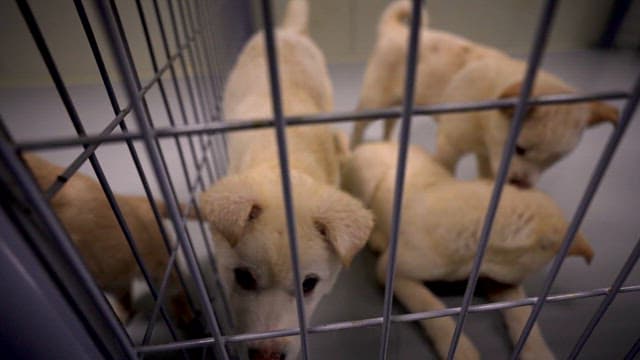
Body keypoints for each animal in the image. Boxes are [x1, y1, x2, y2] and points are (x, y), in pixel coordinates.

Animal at [342, 142, 592, 358]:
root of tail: (368, 144)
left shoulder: (499, 283)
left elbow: (523, 314)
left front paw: (538, 352)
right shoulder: (393, 272)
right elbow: (431, 306)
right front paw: (460, 349)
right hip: (366, 186)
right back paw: (378, 238)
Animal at [352, 0, 616, 188]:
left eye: (553, 161)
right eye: (519, 149)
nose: (521, 185)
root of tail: (395, 31)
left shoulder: (486, 155)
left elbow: (488, 176)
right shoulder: (449, 146)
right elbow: (445, 172)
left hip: (397, 103)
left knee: (389, 122)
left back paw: (389, 144)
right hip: (374, 103)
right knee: (358, 125)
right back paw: (353, 151)